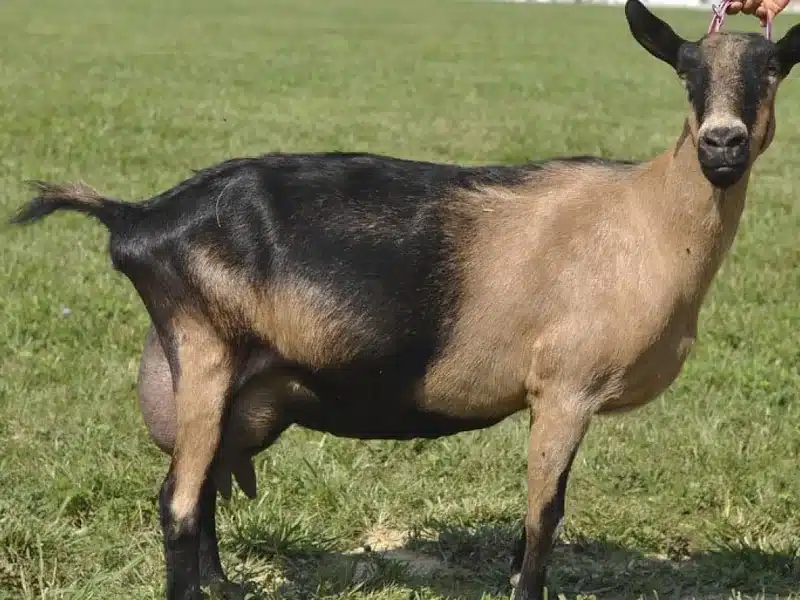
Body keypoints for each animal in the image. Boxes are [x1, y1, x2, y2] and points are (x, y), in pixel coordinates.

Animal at [9, 1, 800, 598]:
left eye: (771, 69)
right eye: (686, 72)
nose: (721, 145)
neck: (643, 218)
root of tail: (140, 219)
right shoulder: (565, 387)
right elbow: (544, 516)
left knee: (200, 490)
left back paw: (225, 587)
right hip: (203, 348)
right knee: (177, 501)